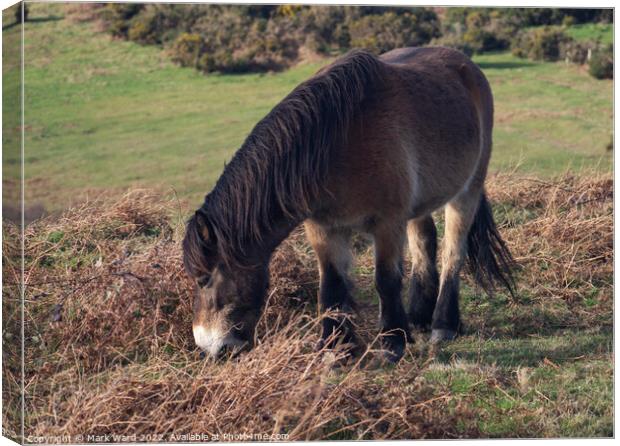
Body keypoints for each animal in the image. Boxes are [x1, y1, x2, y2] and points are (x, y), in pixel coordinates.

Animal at [183, 47, 512, 364]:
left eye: (203, 279)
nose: (209, 348)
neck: (336, 144)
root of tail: (466, 65)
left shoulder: (388, 224)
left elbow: (386, 280)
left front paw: (392, 344)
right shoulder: (323, 228)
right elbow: (331, 285)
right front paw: (335, 348)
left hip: (466, 192)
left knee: (453, 252)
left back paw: (443, 324)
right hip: (421, 203)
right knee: (424, 242)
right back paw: (419, 316)